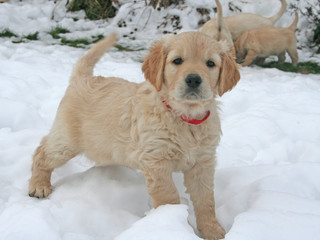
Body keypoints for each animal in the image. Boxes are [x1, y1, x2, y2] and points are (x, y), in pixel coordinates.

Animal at [28, 32, 240, 240]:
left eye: (210, 63)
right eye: (177, 61)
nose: (194, 79)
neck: (184, 116)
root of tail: (83, 78)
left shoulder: (203, 162)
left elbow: (206, 199)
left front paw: (213, 231)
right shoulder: (157, 161)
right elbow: (169, 197)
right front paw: (176, 228)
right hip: (67, 141)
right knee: (42, 152)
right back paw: (39, 186)